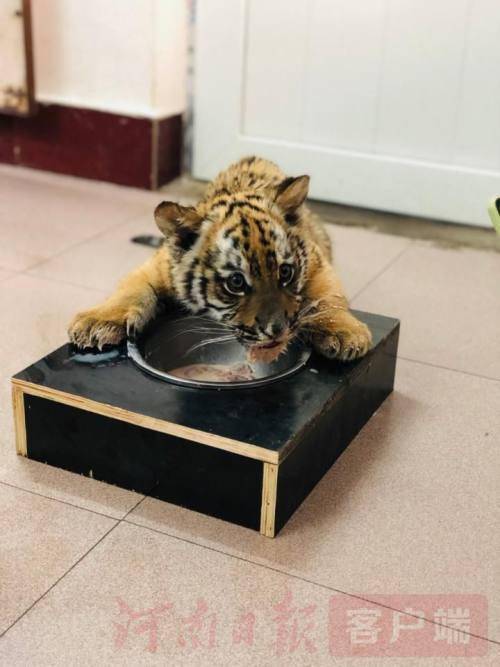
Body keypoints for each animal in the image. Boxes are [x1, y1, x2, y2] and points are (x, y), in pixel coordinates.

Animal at [68, 156, 372, 363]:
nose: (277, 330)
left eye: (286, 273)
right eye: (236, 283)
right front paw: (98, 322)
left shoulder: (318, 263)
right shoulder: (157, 267)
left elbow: (329, 297)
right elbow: (129, 291)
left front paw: (343, 333)